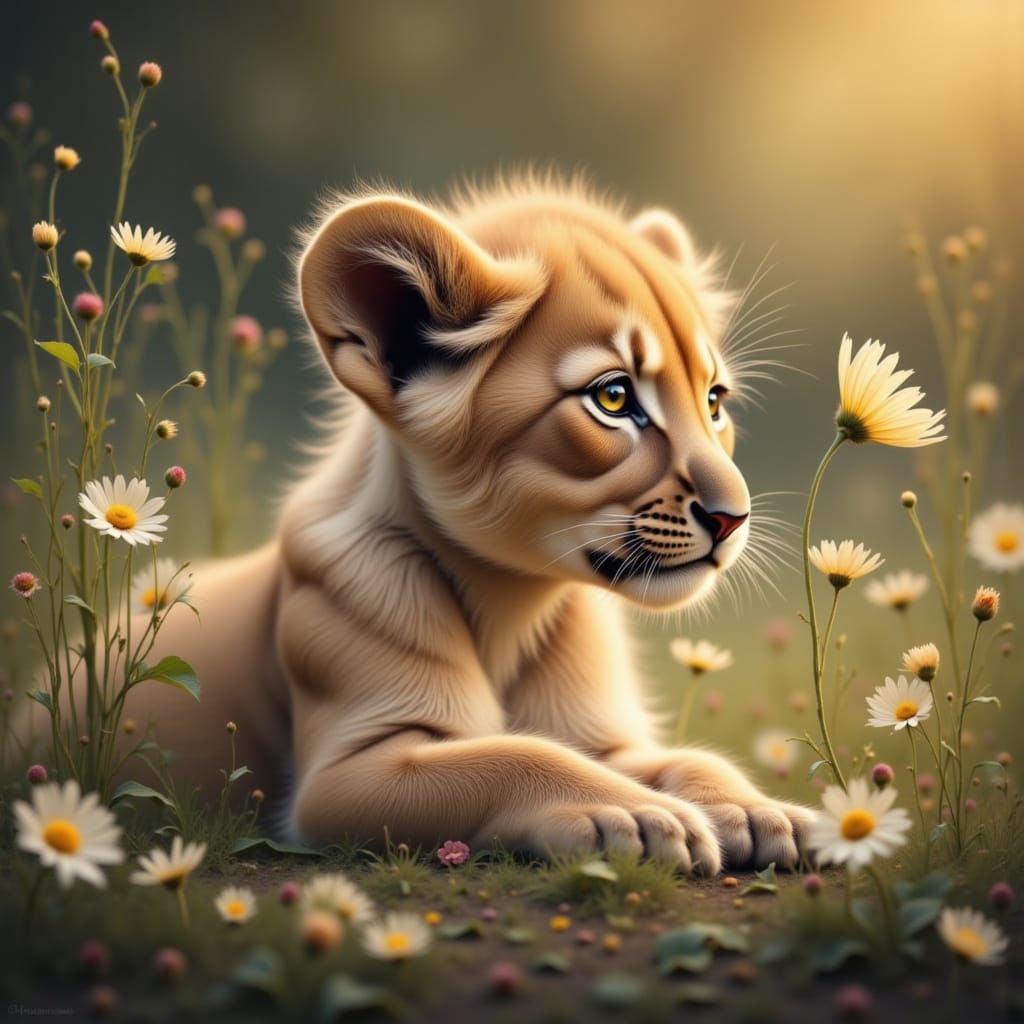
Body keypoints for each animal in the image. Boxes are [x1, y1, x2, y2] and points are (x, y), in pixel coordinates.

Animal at [101, 177, 816, 873]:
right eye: (613, 398)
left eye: (714, 401)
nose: (733, 517)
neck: (514, 597)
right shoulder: (350, 770)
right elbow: (515, 756)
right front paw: (641, 817)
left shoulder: (603, 737)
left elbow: (688, 757)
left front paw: (760, 812)